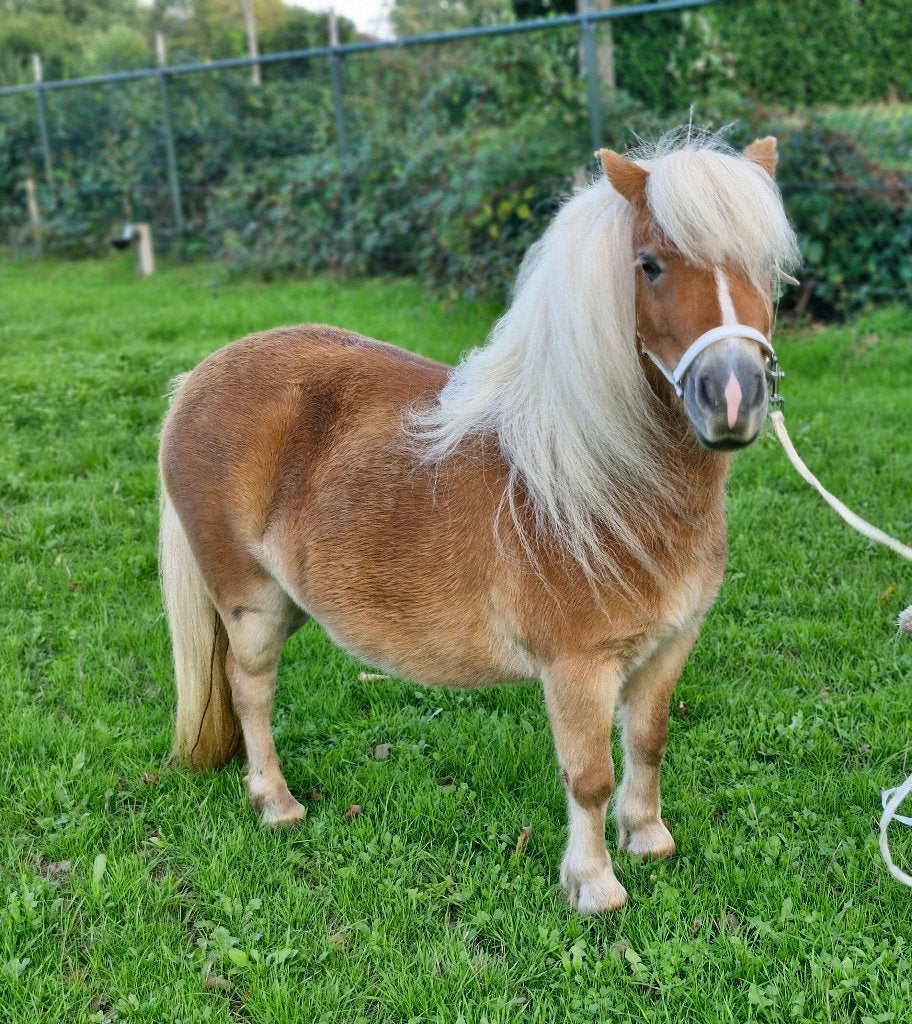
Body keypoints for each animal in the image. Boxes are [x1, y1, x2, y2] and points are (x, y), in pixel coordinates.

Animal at [159, 129, 800, 913]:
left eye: (766, 268)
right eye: (649, 264)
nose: (733, 397)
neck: (606, 481)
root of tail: (199, 377)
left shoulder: (669, 648)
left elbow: (647, 744)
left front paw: (647, 839)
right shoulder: (578, 668)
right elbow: (588, 776)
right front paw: (594, 885)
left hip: (288, 603)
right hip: (248, 601)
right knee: (251, 688)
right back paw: (276, 804)